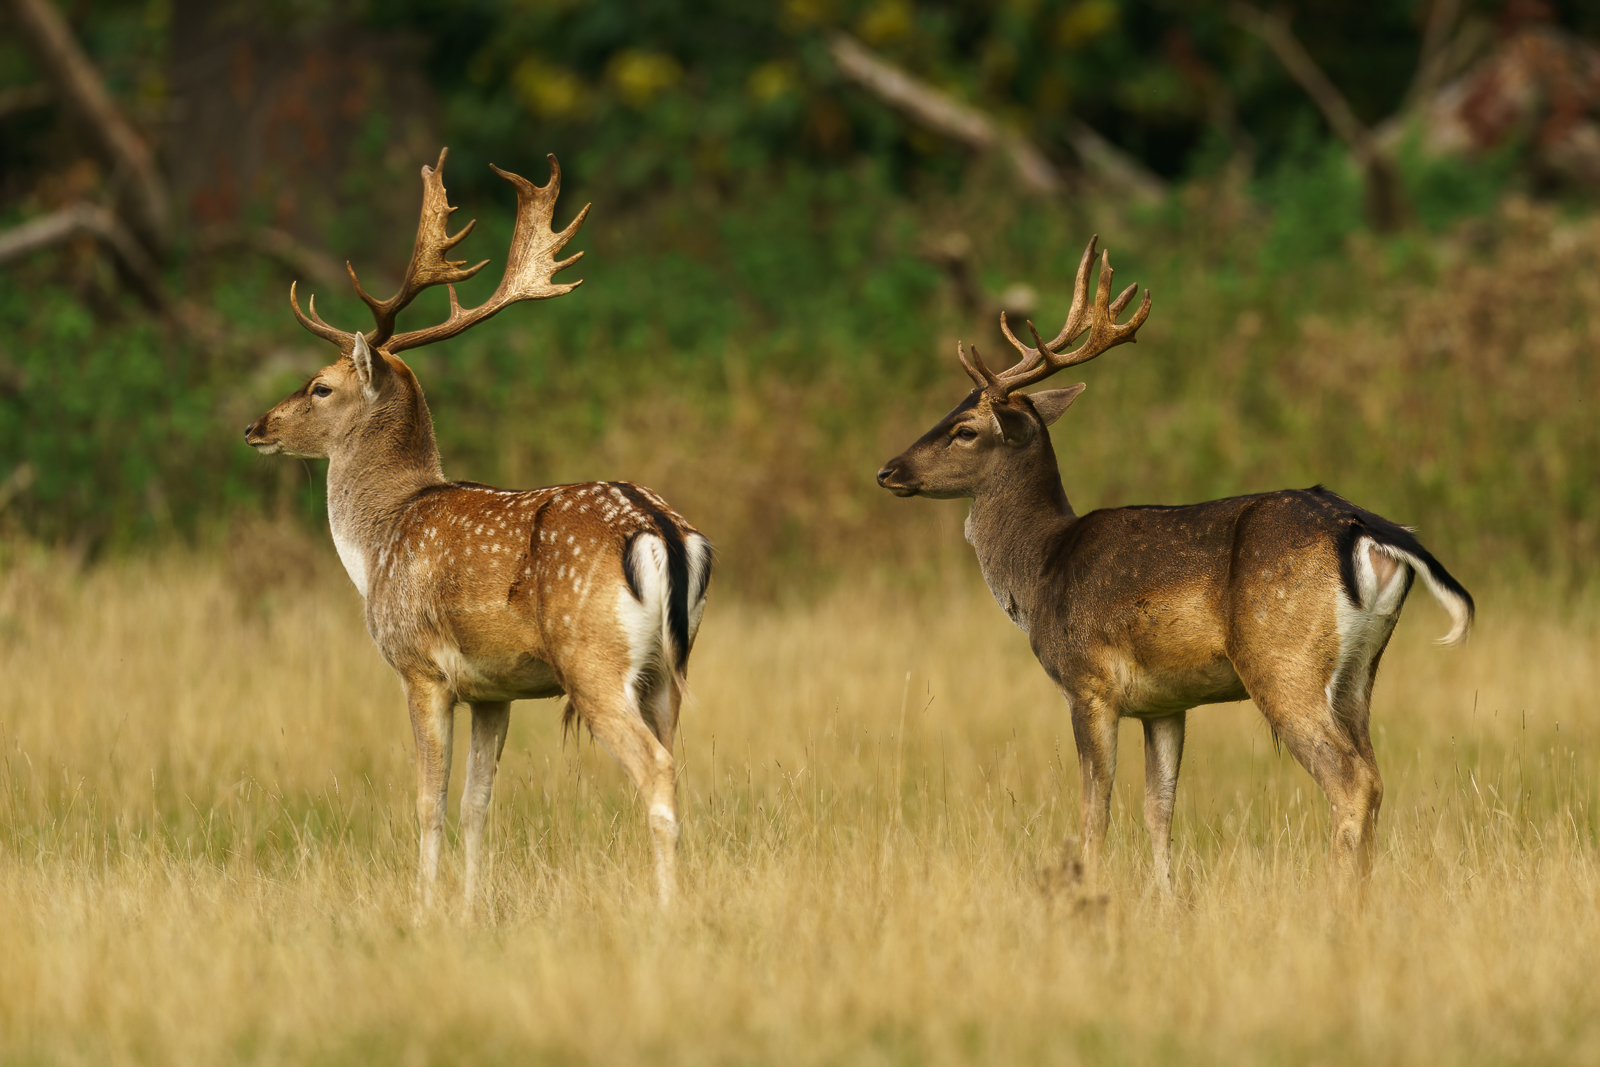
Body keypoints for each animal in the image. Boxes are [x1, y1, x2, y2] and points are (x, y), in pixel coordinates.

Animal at [241, 147, 707, 908]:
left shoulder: (421, 665)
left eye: (319, 386)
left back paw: (667, 907)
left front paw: (424, 903)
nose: (255, 427)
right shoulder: (496, 686)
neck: (375, 543)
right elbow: (477, 803)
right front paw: (469, 904)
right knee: (678, 757)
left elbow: (428, 800)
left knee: (656, 769)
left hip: (593, 658)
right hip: (667, 670)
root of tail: (661, 528)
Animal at [876, 235, 1472, 895]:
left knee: (1352, 783)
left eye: (964, 429)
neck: (1040, 569)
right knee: (1375, 777)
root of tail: (1364, 528)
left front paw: (1091, 888)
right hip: (1360, 671)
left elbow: (1097, 808)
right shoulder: (1166, 704)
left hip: (1281, 659)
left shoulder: (1089, 682)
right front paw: (1164, 897)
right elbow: (1158, 808)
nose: (888, 470)